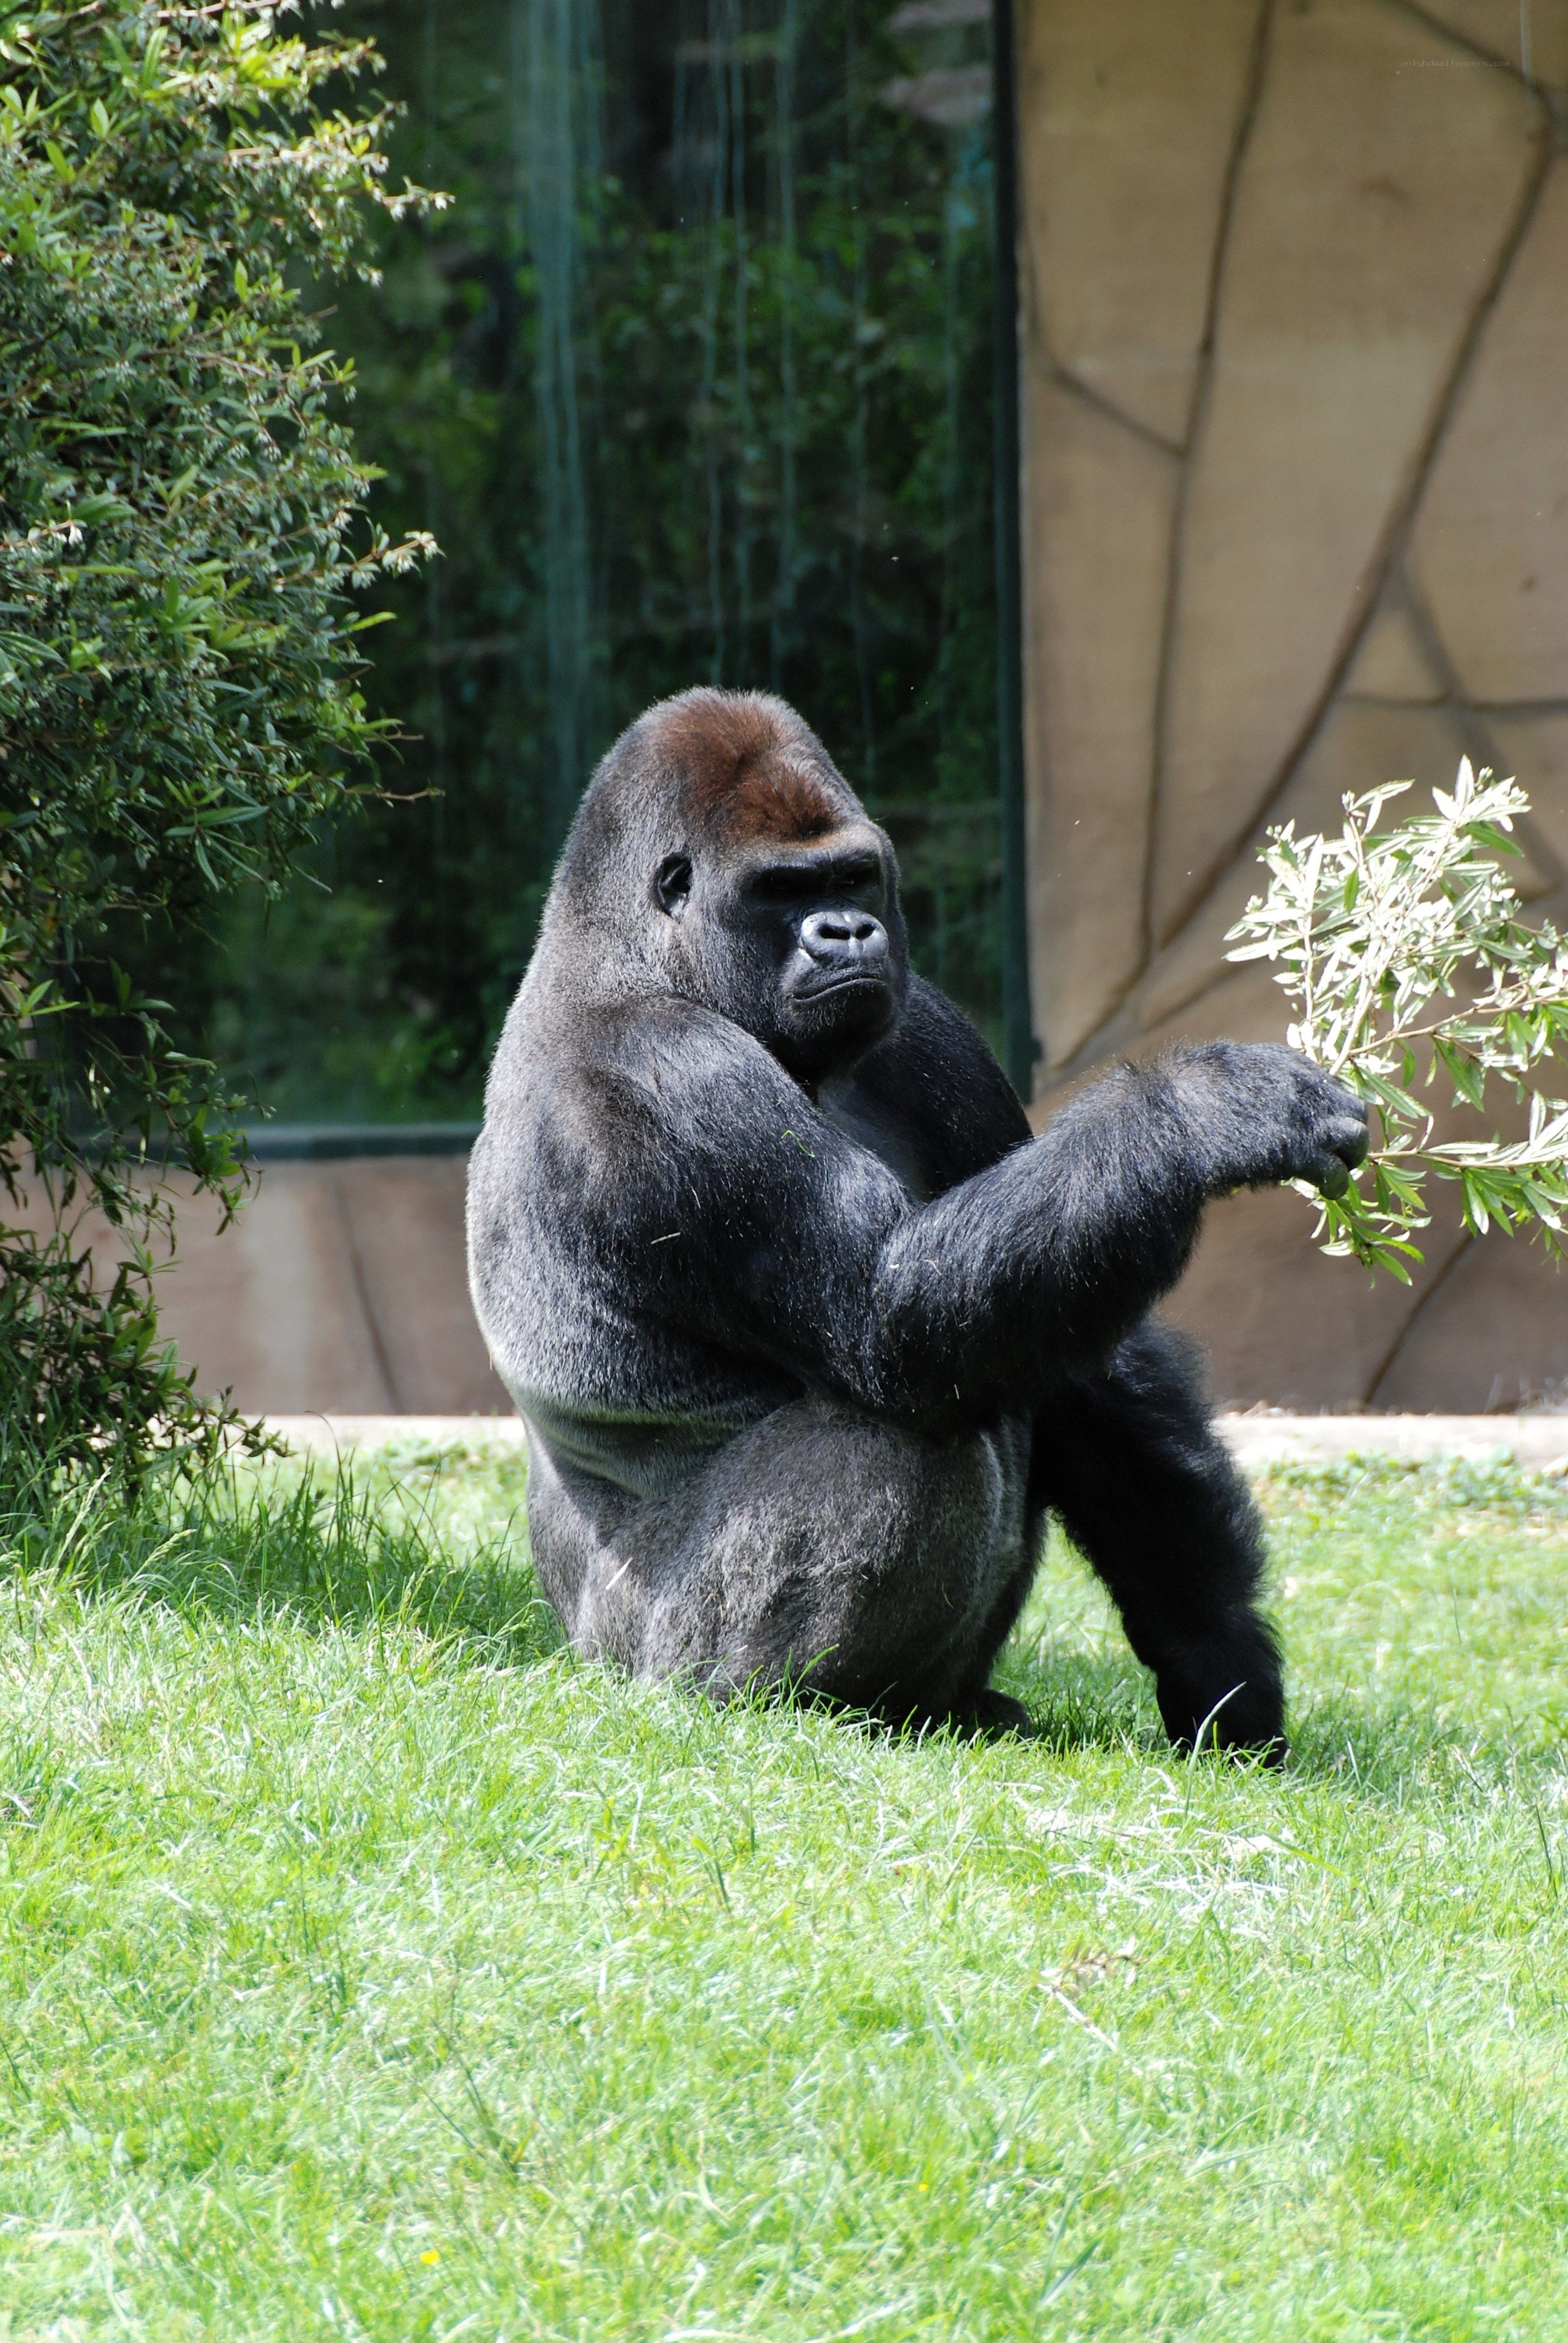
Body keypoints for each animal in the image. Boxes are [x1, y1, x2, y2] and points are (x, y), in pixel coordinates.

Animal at [467, 688, 1368, 1749]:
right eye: (781, 890)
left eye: (853, 876)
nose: (847, 933)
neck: (637, 951)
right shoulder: (662, 1076)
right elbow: (889, 1319)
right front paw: (1204, 1111)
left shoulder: (937, 1035)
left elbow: (1082, 1358)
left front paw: (1215, 1655)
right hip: (643, 1654)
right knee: (898, 1430)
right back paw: (782, 1699)